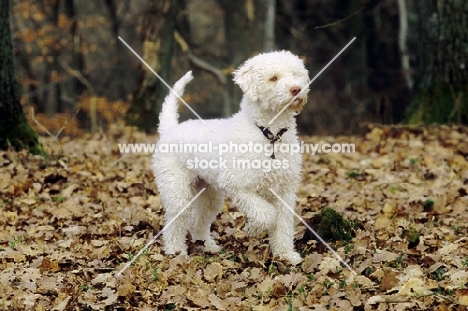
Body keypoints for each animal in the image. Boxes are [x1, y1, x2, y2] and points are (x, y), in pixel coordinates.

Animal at [152, 50, 308, 264]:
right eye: (273, 78)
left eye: (296, 74)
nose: (296, 89)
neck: (268, 134)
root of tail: (169, 129)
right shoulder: (237, 185)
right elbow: (267, 214)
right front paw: (252, 229)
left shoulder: (285, 191)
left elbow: (283, 224)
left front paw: (285, 254)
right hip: (176, 188)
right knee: (175, 222)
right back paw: (176, 251)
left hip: (209, 194)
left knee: (197, 223)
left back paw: (208, 246)